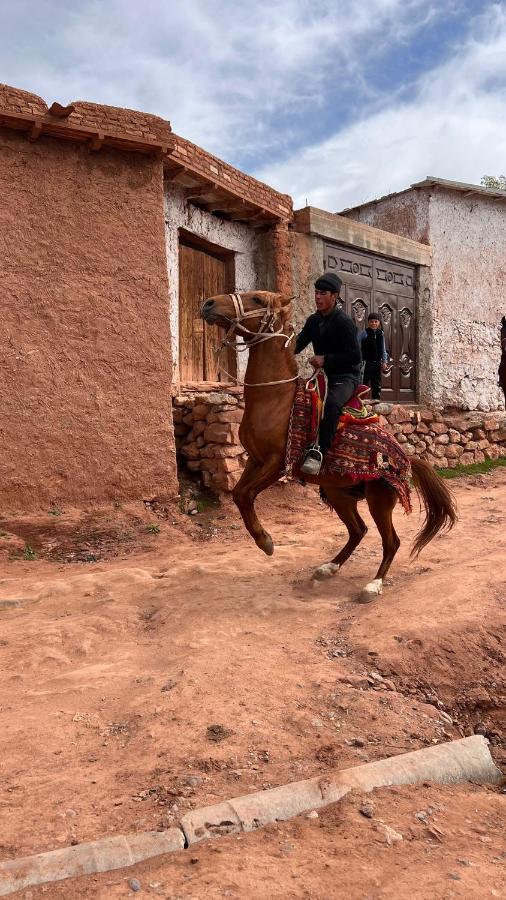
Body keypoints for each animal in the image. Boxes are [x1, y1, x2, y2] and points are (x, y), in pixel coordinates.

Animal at [202, 288, 458, 600]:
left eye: (258, 300)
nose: (208, 304)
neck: (275, 398)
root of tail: (406, 458)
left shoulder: (277, 463)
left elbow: (246, 495)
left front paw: (266, 542)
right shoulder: (255, 460)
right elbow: (240, 494)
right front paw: (264, 541)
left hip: (379, 500)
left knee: (391, 541)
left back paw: (373, 585)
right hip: (340, 494)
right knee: (358, 531)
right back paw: (327, 569)